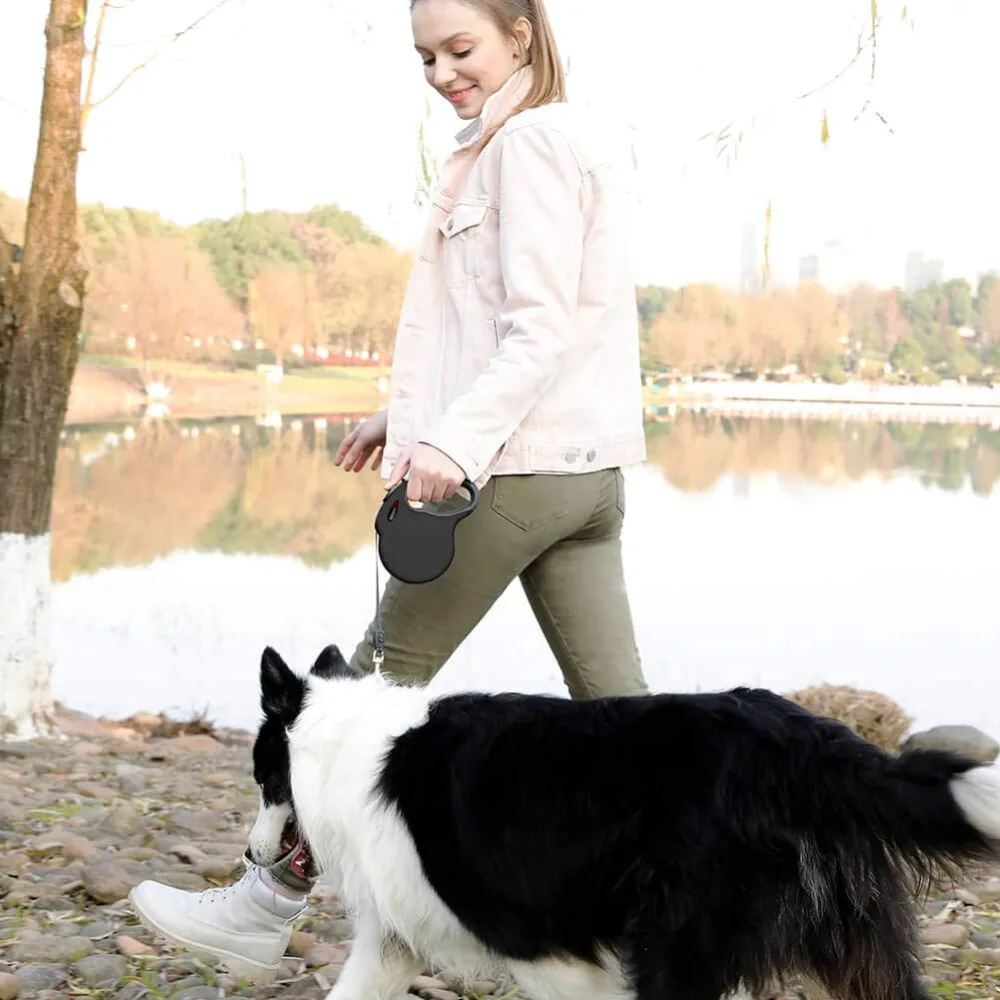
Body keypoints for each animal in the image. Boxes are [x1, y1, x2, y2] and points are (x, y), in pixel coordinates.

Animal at [248, 644, 1000, 996]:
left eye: (260, 776)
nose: (251, 857)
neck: (337, 739)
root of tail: (806, 740)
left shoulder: (546, 951)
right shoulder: (393, 941)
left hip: (679, 945)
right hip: (857, 946)